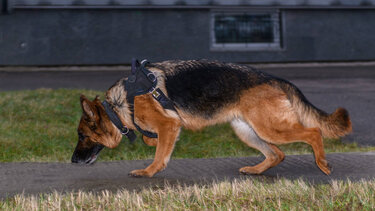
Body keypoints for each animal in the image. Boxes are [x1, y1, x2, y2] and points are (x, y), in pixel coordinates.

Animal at [71, 60, 352, 177]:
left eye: (82, 136)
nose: (72, 161)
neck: (120, 105)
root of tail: (276, 79)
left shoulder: (169, 124)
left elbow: (160, 155)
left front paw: (148, 172)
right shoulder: (168, 127)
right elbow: (153, 140)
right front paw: (149, 140)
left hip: (270, 128)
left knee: (313, 132)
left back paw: (322, 163)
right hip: (247, 131)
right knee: (277, 154)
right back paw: (255, 170)